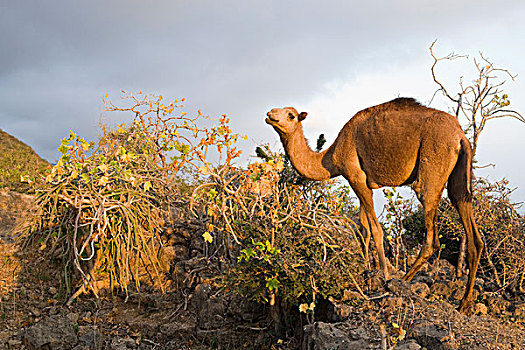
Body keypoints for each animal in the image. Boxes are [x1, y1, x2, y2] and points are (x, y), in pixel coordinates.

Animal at [266, 98, 484, 312]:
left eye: (291, 115)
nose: (270, 114)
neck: (331, 157)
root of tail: (461, 136)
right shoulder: (361, 181)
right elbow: (364, 231)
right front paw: (365, 273)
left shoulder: (356, 176)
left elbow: (376, 231)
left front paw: (383, 276)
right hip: (459, 172)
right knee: (467, 217)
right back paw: (464, 303)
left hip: (432, 167)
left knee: (431, 236)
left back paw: (401, 282)